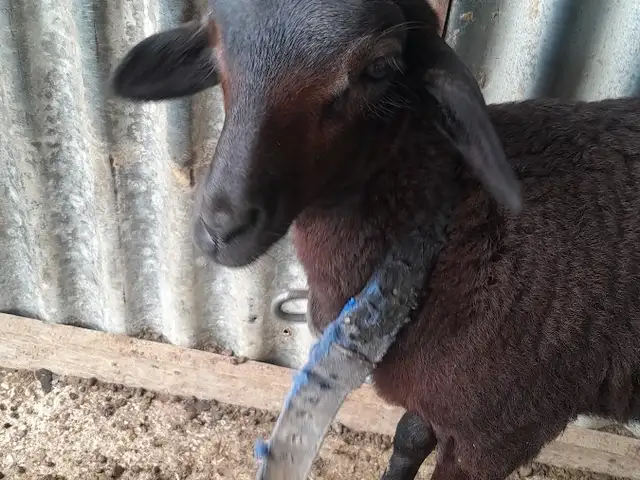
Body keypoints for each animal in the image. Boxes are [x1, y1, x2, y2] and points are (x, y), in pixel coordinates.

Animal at [111, 0, 640, 478]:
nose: (221, 227)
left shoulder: (500, 433)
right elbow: (409, 437)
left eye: (379, 67)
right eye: (217, 48)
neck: (446, 230)